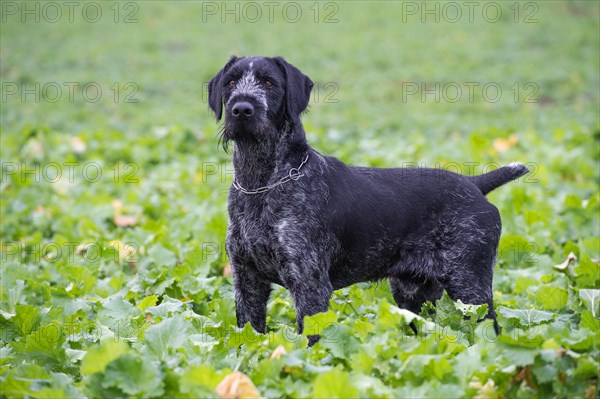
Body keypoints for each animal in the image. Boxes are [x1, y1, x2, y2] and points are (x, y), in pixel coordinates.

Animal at [209, 55, 528, 344]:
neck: (260, 182)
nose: (241, 109)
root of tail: (474, 184)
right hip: (413, 294)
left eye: (268, 82)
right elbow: (247, 337)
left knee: (491, 332)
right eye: (231, 83)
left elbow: (311, 342)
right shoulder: (247, 283)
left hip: (470, 288)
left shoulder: (310, 286)